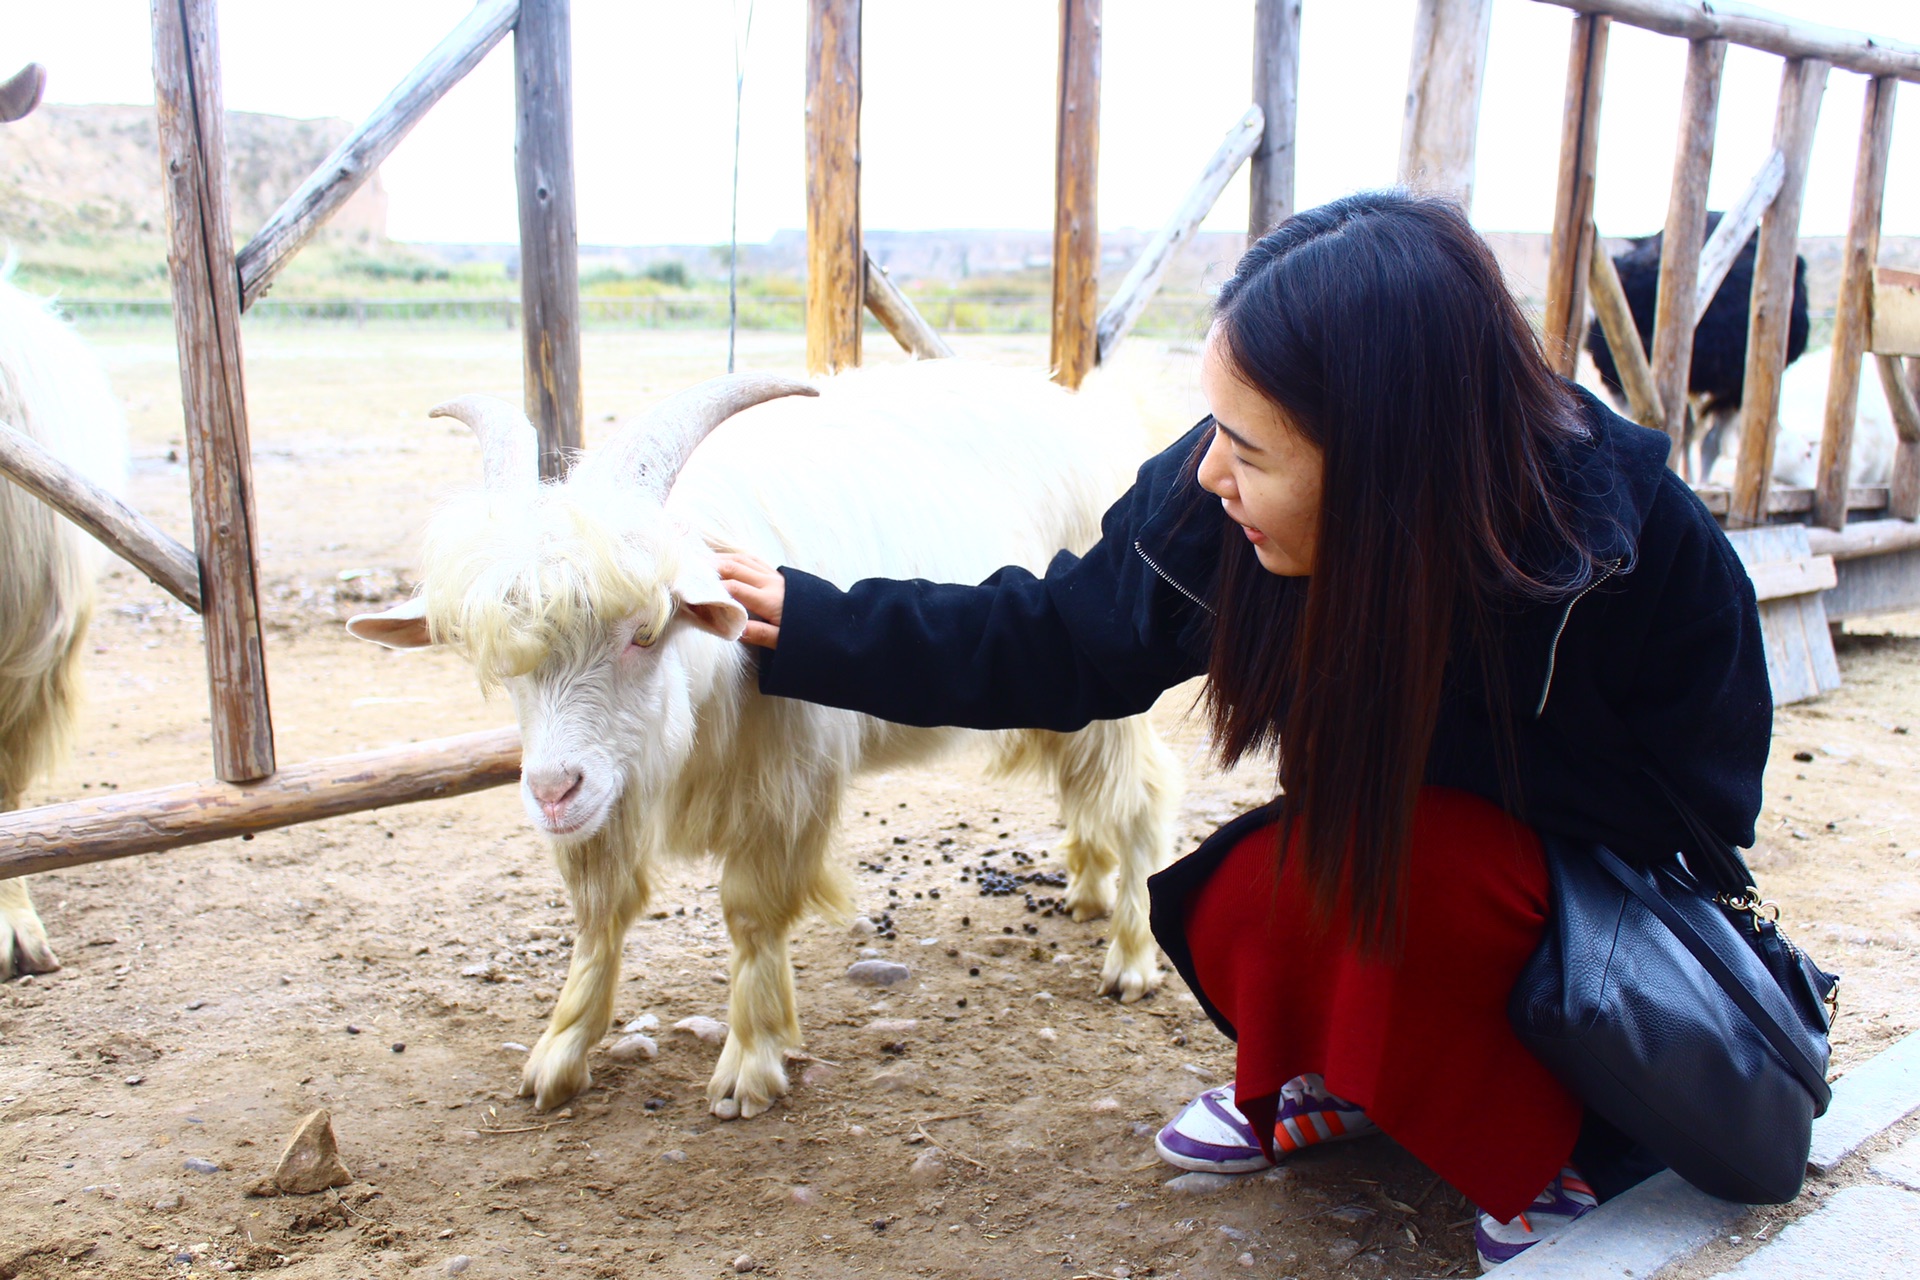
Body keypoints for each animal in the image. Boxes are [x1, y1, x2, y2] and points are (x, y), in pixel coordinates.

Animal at [351, 362, 1175, 1120]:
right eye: (493, 655)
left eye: (645, 631)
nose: (553, 793)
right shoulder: (613, 786)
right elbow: (598, 912)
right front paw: (559, 1054)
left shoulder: (785, 782)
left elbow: (750, 913)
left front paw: (750, 1065)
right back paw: (1088, 888)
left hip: (1097, 673)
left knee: (1140, 795)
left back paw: (1133, 956)